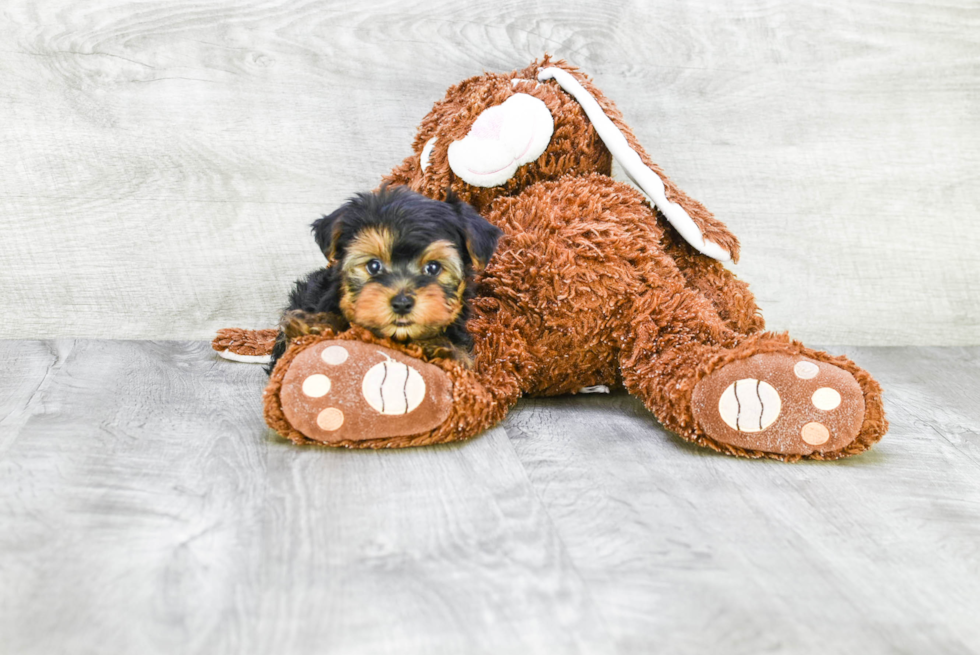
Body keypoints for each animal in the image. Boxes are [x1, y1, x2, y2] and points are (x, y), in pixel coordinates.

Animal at [266, 186, 502, 374]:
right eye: (374, 266)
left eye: (433, 268)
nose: (402, 303)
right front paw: (315, 324)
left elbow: (463, 359)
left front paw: (443, 349)